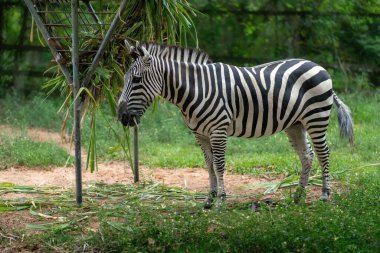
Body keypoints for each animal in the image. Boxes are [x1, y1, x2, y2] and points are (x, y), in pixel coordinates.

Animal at [118, 42, 354, 208]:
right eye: (125, 79)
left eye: (136, 80)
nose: (121, 116)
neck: (196, 89)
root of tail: (317, 65)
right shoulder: (200, 134)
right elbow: (209, 165)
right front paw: (209, 200)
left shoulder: (218, 130)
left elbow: (219, 165)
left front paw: (221, 200)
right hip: (295, 123)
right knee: (307, 155)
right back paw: (298, 195)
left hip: (316, 117)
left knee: (324, 153)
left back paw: (324, 195)